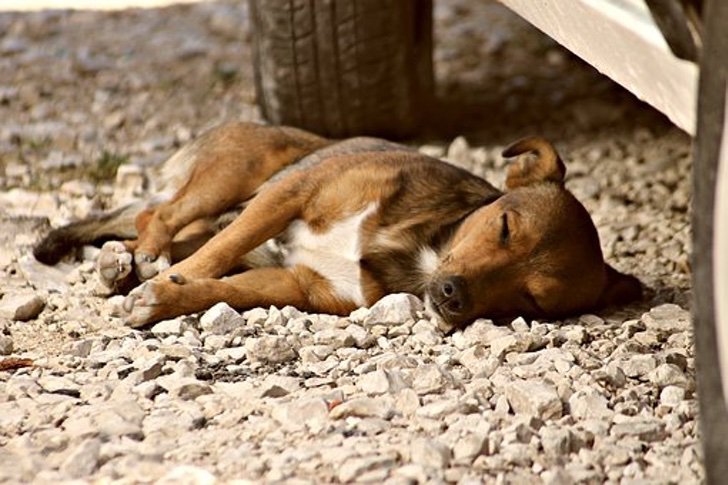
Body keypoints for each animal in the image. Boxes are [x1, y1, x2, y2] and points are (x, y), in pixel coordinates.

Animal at [34, 123, 640, 330]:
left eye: (533, 300)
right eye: (505, 227)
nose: (451, 296)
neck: (421, 248)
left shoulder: (300, 285)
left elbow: (224, 288)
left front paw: (165, 297)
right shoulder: (291, 193)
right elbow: (216, 259)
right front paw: (165, 283)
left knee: (153, 225)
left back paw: (123, 265)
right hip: (238, 177)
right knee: (157, 216)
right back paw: (138, 260)